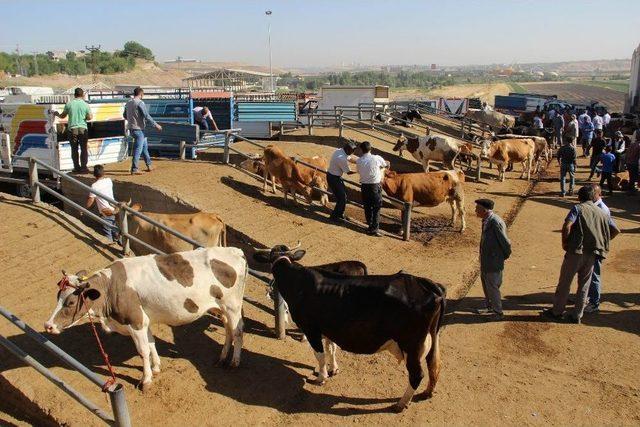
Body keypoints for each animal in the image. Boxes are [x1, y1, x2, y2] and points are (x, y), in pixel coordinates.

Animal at [44, 247, 248, 392]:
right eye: (58, 296)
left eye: (70, 302)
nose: (48, 325)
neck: (112, 287)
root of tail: (235, 251)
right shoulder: (145, 321)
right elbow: (151, 345)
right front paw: (156, 367)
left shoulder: (136, 322)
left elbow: (143, 351)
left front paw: (146, 380)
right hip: (221, 308)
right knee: (228, 330)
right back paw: (222, 358)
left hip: (232, 305)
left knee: (238, 331)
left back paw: (234, 362)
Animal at [254, 242, 444, 412]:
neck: (296, 282)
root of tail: (421, 283)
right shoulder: (328, 328)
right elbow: (331, 348)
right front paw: (334, 369)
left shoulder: (311, 329)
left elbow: (320, 355)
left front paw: (322, 377)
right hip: (431, 339)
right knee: (434, 364)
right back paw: (427, 392)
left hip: (412, 345)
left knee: (417, 374)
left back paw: (401, 403)